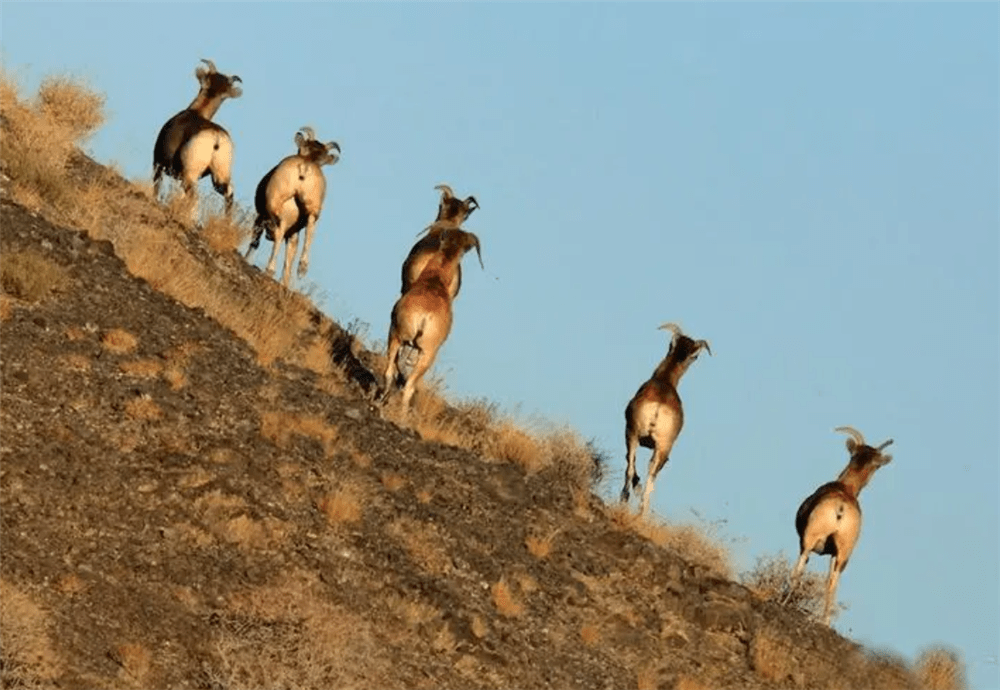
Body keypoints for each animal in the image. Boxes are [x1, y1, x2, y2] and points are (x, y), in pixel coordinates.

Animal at [154, 60, 244, 220]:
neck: (197, 111)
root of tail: (216, 137)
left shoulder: (158, 163)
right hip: (219, 178)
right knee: (229, 193)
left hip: (190, 177)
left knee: (194, 197)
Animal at [246, 127, 344, 288]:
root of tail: (305, 166)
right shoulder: (293, 233)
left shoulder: (260, 217)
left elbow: (255, 241)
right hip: (313, 210)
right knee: (310, 229)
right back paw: (302, 268)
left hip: (275, 205)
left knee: (278, 231)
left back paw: (270, 269)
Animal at [380, 227, 482, 414]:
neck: (434, 280)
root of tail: (424, 316)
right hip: (424, 354)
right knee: (406, 385)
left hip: (398, 338)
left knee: (391, 373)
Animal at [624, 326, 712, 512]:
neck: (665, 381)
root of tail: (658, 406)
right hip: (658, 447)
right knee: (649, 474)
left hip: (634, 436)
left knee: (632, 467)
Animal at [784, 424, 896, 624]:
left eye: (876, 466)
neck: (846, 488)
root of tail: (840, 507)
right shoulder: (834, 553)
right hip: (843, 554)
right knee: (832, 582)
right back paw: (825, 621)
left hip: (809, 541)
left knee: (801, 566)